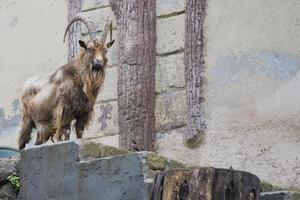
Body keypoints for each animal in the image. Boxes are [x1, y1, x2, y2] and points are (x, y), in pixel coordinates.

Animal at [17, 14, 115, 149]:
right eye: (89, 48)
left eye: (105, 50)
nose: (99, 62)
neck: (80, 80)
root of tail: (25, 86)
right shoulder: (65, 110)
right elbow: (67, 131)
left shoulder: (83, 114)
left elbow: (79, 133)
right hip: (27, 119)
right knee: (22, 140)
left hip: (42, 125)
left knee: (38, 141)